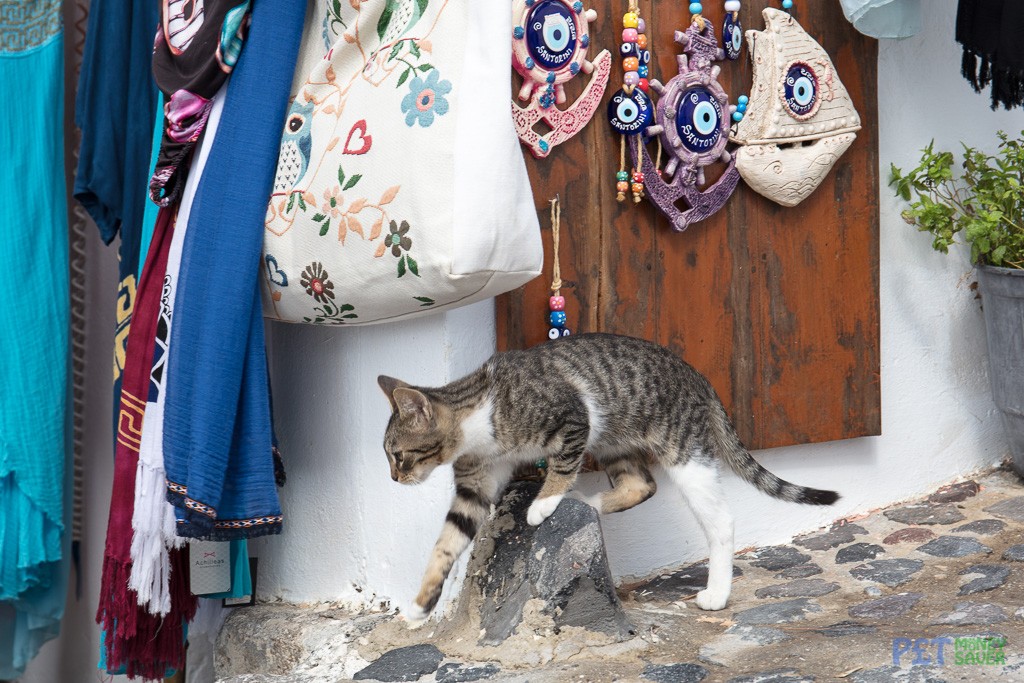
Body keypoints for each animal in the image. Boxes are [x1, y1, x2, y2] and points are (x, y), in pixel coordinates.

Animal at [378, 333, 839, 626]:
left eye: (398, 455)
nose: (394, 479)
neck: (479, 418)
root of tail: (697, 375)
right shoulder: (474, 489)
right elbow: (446, 544)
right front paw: (420, 605)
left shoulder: (574, 417)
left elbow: (562, 464)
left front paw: (543, 503)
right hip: (614, 444)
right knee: (642, 484)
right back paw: (591, 502)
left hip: (683, 453)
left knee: (720, 521)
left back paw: (717, 594)